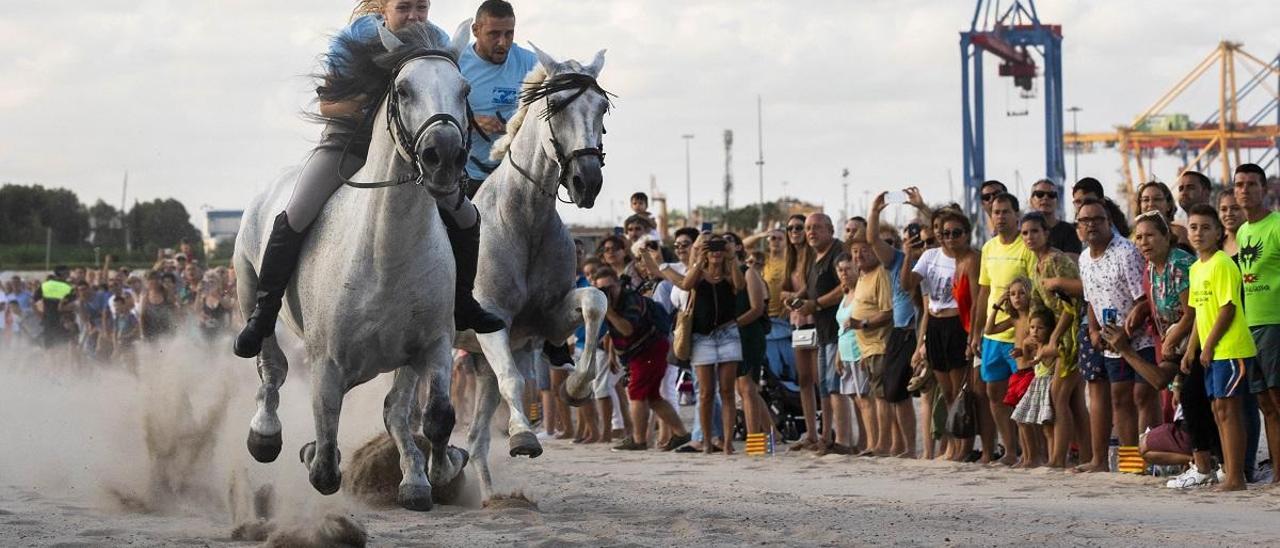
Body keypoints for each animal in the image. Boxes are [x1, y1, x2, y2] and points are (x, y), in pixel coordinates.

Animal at [232, 21, 473, 509]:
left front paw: (433, 473)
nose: (444, 157)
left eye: (464, 89)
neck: (387, 254)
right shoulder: (327, 362)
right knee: (271, 364)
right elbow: (325, 453)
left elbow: (432, 414)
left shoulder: (431, 343)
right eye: (403, 90)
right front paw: (311, 454)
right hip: (249, 287)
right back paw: (265, 435)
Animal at [455, 46, 614, 501]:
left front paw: (576, 388)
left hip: (476, 364)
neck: (523, 220)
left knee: (474, 439)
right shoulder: (492, 321)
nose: (587, 182)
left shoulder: (546, 321)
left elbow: (595, 302)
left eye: (601, 108)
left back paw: (490, 498)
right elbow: (514, 379)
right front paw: (524, 436)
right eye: (555, 106)